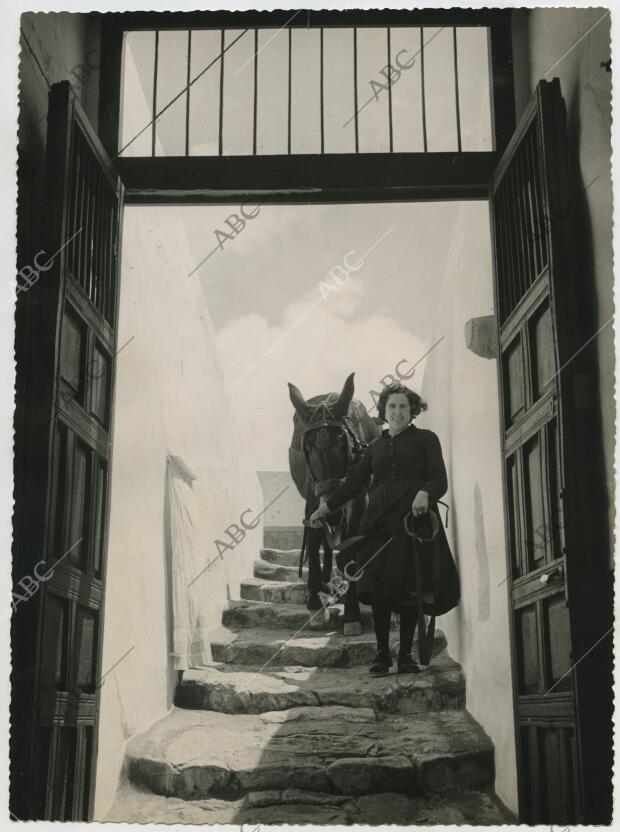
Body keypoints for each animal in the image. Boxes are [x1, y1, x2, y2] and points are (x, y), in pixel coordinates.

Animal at [286, 374, 382, 632]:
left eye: (344, 445)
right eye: (307, 448)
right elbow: (313, 539)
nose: (332, 512)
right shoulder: (312, 497)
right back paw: (323, 584)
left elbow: (350, 547)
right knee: (322, 541)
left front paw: (351, 614)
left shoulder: (358, 498)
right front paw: (314, 603)